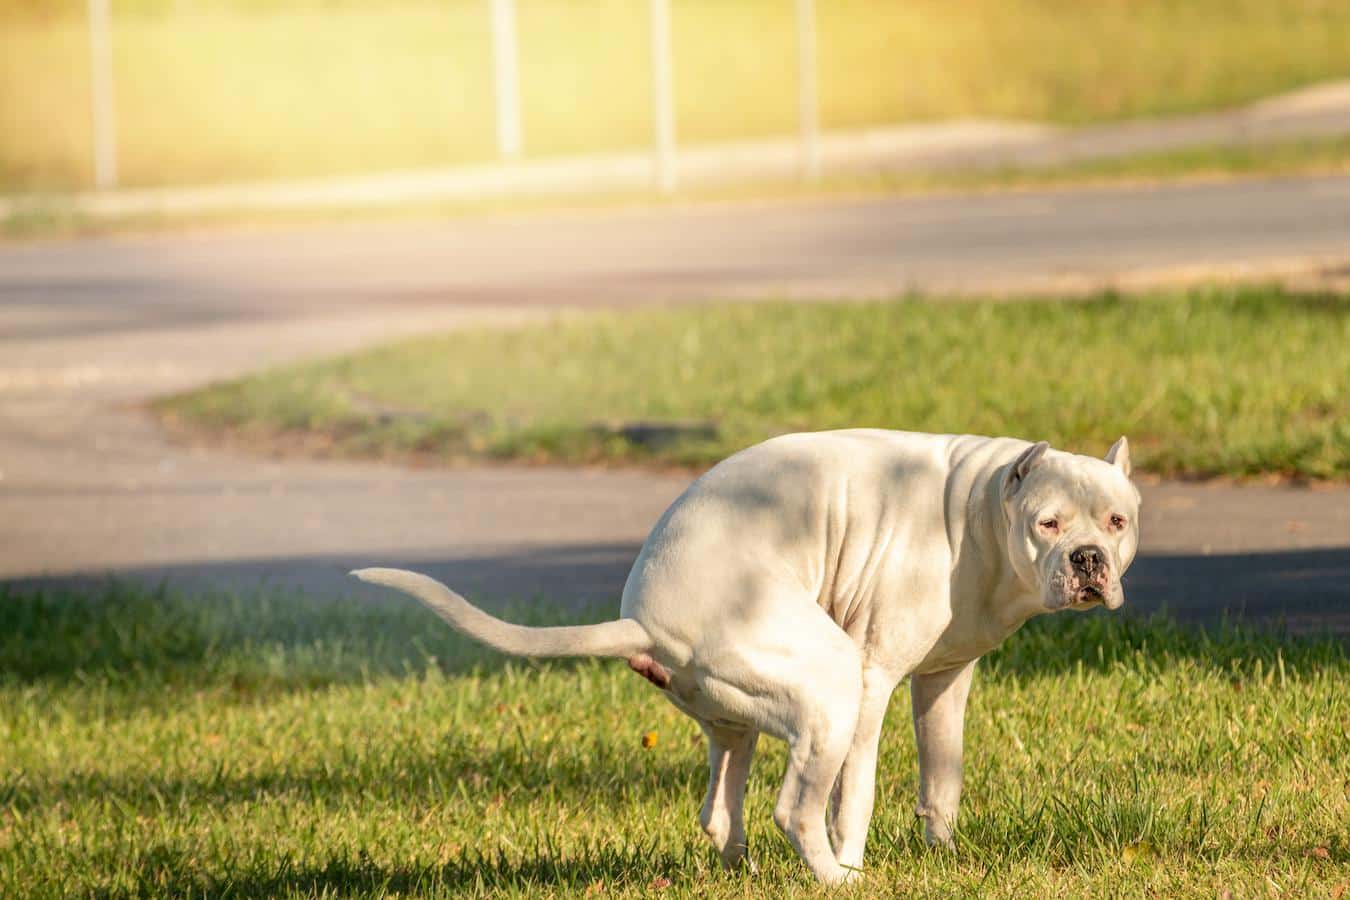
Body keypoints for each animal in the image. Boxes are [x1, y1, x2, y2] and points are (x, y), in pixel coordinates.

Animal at [356, 431, 1139, 885]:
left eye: (1117, 521)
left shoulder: (945, 682)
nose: (1089, 560)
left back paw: (746, 869)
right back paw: (837, 879)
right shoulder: (875, 680)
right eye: (1048, 523)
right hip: (826, 687)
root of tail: (643, 618)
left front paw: (944, 856)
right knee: (795, 808)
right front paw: (854, 856)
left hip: (736, 717)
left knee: (720, 811)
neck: (978, 507)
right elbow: (856, 794)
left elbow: (941, 780)